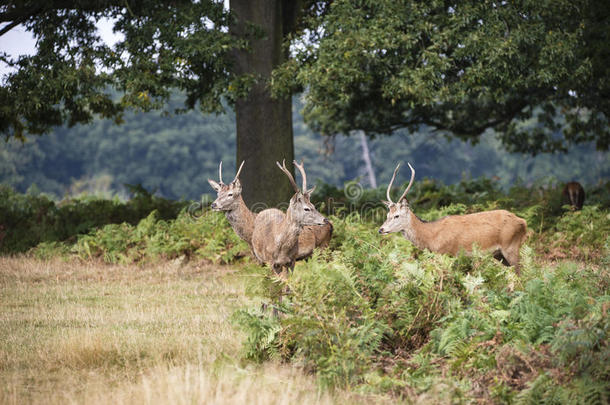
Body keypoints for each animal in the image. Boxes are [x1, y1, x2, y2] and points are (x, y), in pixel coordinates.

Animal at [378, 163, 524, 274]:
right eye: (387, 215)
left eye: (397, 215)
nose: (381, 229)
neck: (431, 237)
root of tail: (523, 222)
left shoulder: (449, 254)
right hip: (500, 255)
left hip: (511, 247)